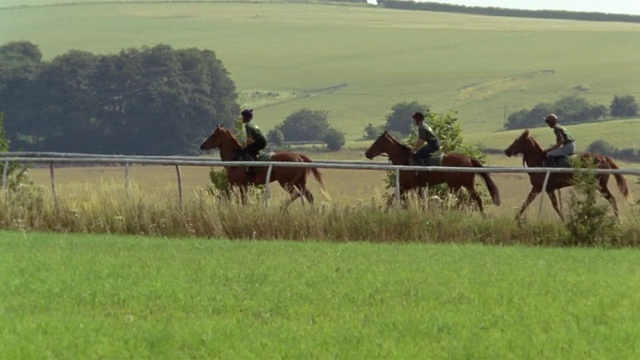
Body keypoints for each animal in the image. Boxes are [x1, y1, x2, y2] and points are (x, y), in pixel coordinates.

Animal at [200, 124, 330, 207]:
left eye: (213, 135)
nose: (202, 146)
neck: (235, 159)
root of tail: (298, 156)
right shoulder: (233, 184)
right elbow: (224, 195)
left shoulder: (242, 185)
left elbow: (243, 201)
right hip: (300, 182)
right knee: (309, 197)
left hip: (286, 182)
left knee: (297, 195)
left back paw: (282, 208)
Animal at [362, 131, 502, 212]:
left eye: (377, 142)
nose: (367, 153)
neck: (404, 160)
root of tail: (468, 158)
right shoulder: (413, 187)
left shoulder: (406, 186)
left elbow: (392, 199)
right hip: (467, 184)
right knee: (476, 199)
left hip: (455, 185)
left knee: (462, 199)